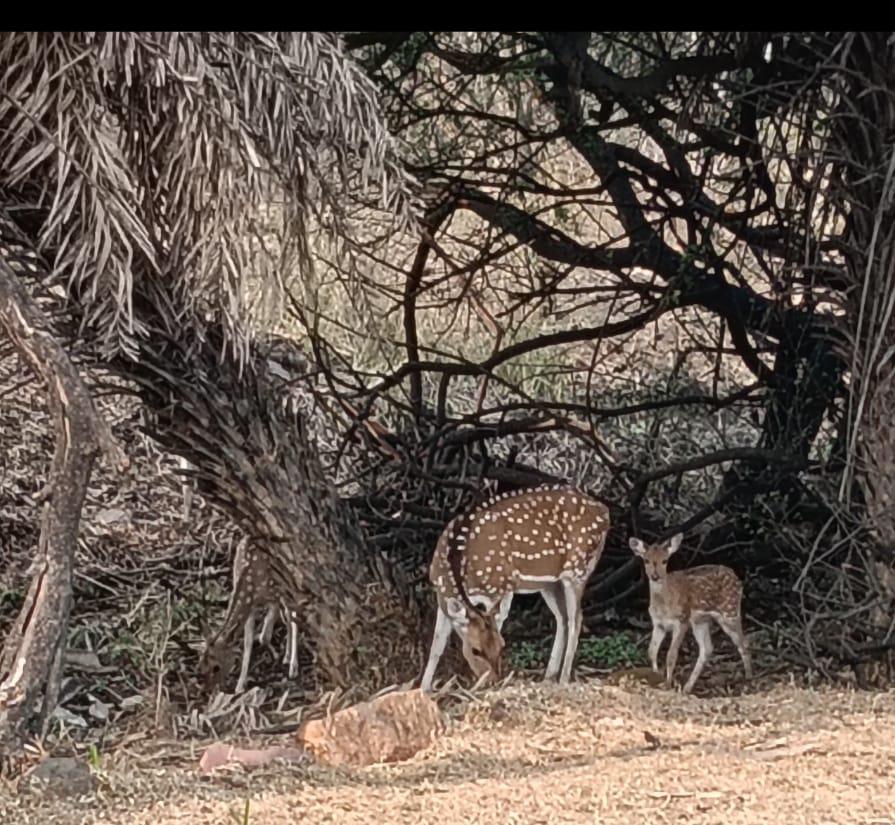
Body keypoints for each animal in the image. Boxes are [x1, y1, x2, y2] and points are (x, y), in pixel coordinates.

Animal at [200, 539, 299, 693]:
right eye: (201, 665)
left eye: (216, 667)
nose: (207, 690)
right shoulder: (251, 608)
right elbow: (248, 642)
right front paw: (240, 685)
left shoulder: (274, 594)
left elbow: (264, 637)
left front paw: (276, 654)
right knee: (289, 615)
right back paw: (287, 657)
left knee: (292, 614)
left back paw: (293, 666)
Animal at [420, 484, 610, 692]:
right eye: (475, 650)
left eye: (502, 646)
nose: (494, 680)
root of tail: (606, 512)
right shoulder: (441, 596)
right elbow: (436, 645)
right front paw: (423, 688)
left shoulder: (501, 585)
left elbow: (499, 621)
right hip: (549, 583)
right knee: (562, 618)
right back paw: (548, 676)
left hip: (578, 569)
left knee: (576, 618)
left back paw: (563, 679)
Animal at [629, 532, 752, 694]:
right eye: (646, 560)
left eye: (665, 560)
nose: (655, 576)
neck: (664, 605)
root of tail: (737, 578)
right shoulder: (658, 624)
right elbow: (651, 651)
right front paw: (656, 678)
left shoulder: (682, 620)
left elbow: (671, 655)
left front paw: (667, 685)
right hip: (701, 620)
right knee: (707, 648)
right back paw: (687, 687)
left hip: (729, 611)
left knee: (743, 642)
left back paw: (749, 680)